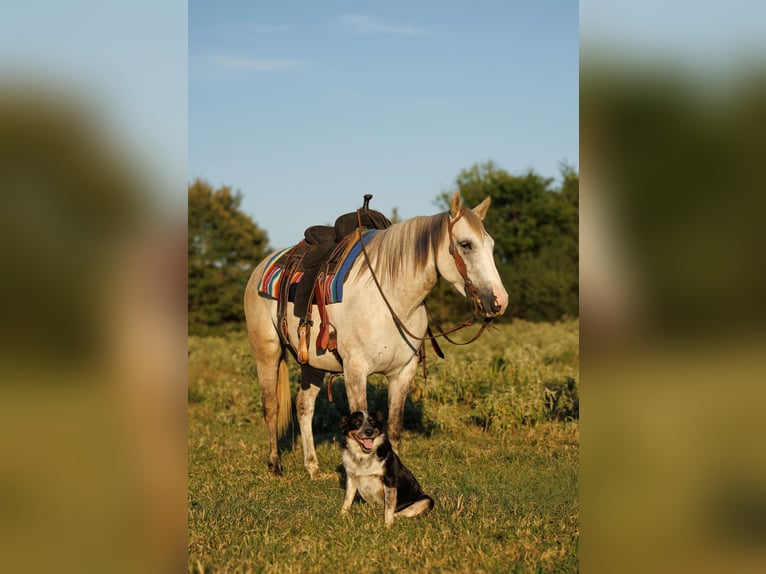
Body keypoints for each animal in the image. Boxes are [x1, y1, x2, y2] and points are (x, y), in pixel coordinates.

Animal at [244, 192, 509, 478]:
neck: (391, 299)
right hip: (267, 351)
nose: (499, 301)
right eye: (466, 244)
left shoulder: (403, 373)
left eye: (491, 245)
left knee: (304, 407)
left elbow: (393, 429)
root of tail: (263, 266)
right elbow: (360, 431)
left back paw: (312, 467)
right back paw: (275, 464)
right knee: (271, 405)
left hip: (312, 363)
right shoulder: (355, 371)